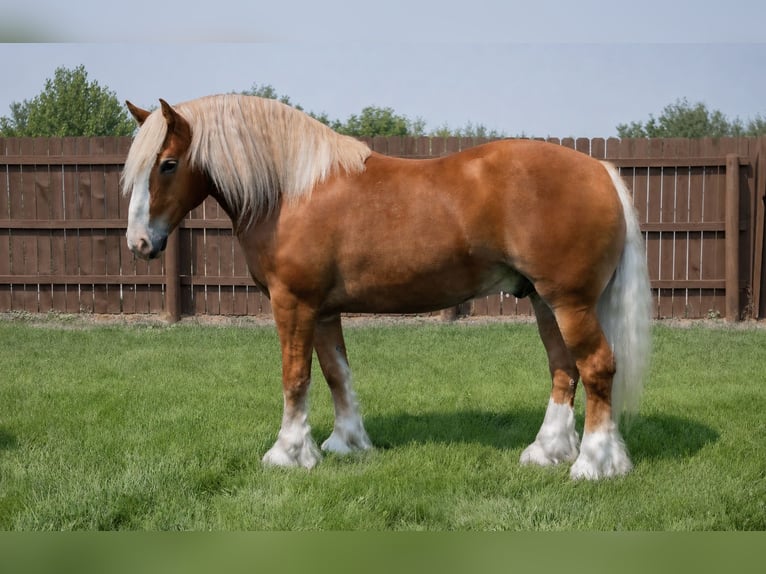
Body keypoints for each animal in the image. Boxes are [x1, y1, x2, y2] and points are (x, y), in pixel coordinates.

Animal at [122, 94, 651, 480]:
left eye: (168, 163)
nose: (139, 243)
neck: (292, 190)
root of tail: (599, 170)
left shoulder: (294, 303)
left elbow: (296, 377)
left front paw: (288, 454)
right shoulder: (324, 309)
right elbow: (336, 374)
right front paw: (347, 444)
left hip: (569, 302)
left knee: (597, 367)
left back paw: (593, 465)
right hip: (544, 301)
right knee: (564, 369)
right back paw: (548, 451)